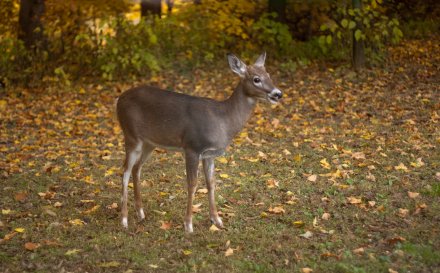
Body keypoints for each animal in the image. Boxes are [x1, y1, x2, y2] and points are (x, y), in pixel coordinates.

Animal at [117, 53, 282, 232]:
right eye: (256, 79)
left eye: (269, 75)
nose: (278, 94)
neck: (224, 120)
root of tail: (118, 100)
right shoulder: (192, 147)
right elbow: (192, 184)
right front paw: (188, 225)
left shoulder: (210, 154)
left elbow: (211, 183)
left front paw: (217, 220)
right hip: (131, 135)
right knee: (125, 171)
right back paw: (124, 220)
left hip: (149, 143)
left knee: (136, 168)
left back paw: (141, 213)